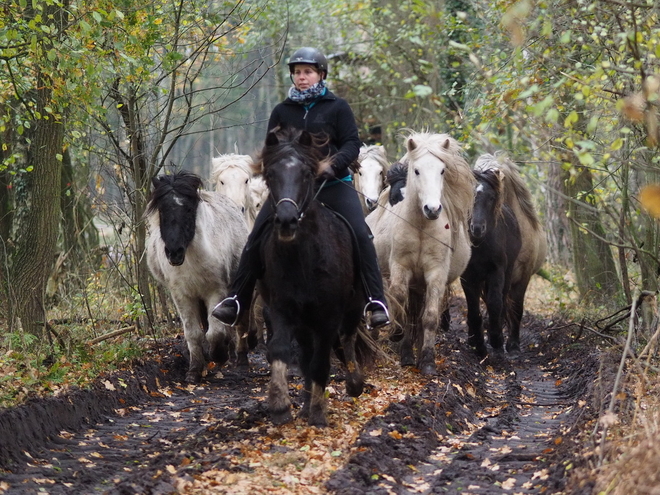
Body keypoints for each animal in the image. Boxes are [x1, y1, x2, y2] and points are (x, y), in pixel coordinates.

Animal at [147, 170, 250, 384]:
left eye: (188, 210)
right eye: (162, 211)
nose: (174, 253)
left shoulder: (215, 291)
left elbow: (215, 333)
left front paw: (219, 355)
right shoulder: (183, 296)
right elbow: (193, 333)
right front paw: (194, 369)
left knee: (239, 322)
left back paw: (240, 358)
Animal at [256, 126, 368, 428]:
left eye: (307, 174)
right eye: (270, 174)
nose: (286, 220)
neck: (303, 260)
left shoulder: (329, 315)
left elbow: (321, 362)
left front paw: (319, 413)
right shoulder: (281, 308)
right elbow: (281, 350)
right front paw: (281, 406)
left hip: (353, 307)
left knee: (348, 337)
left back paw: (354, 383)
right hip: (304, 322)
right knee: (306, 354)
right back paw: (305, 405)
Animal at [366, 133, 474, 376]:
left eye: (442, 170)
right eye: (416, 170)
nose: (432, 209)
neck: (421, 228)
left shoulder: (435, 274)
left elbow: (430, 317)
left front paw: (427, 362)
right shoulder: (401, 267)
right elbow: (398, 298)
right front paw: (397, 335)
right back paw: (404, 352)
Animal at [458, 169, 520, 358]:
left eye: (491, 197)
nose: (477, 228)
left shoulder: (496, 271)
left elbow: (495, 303)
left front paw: (496, 339)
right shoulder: (467, 277)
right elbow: (473, 309)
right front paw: (479, 345)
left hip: (507, 273)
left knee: (502, 299)